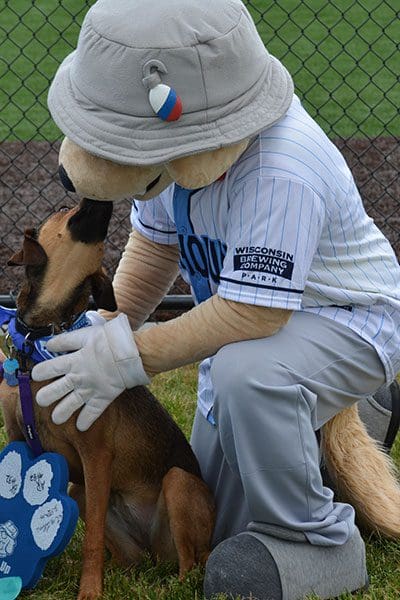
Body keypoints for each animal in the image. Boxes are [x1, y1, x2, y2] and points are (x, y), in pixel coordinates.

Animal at [0, 200, 216, 600]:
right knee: (132, 558)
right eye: (64, 209)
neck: (40, 340)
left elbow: (93, 540)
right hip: (80, 491)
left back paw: (175, 584)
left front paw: (89, 591)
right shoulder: (20, 440)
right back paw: (124, 572)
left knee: (190, 565)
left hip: (177, 484)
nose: (99, 200)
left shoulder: (96, 455)